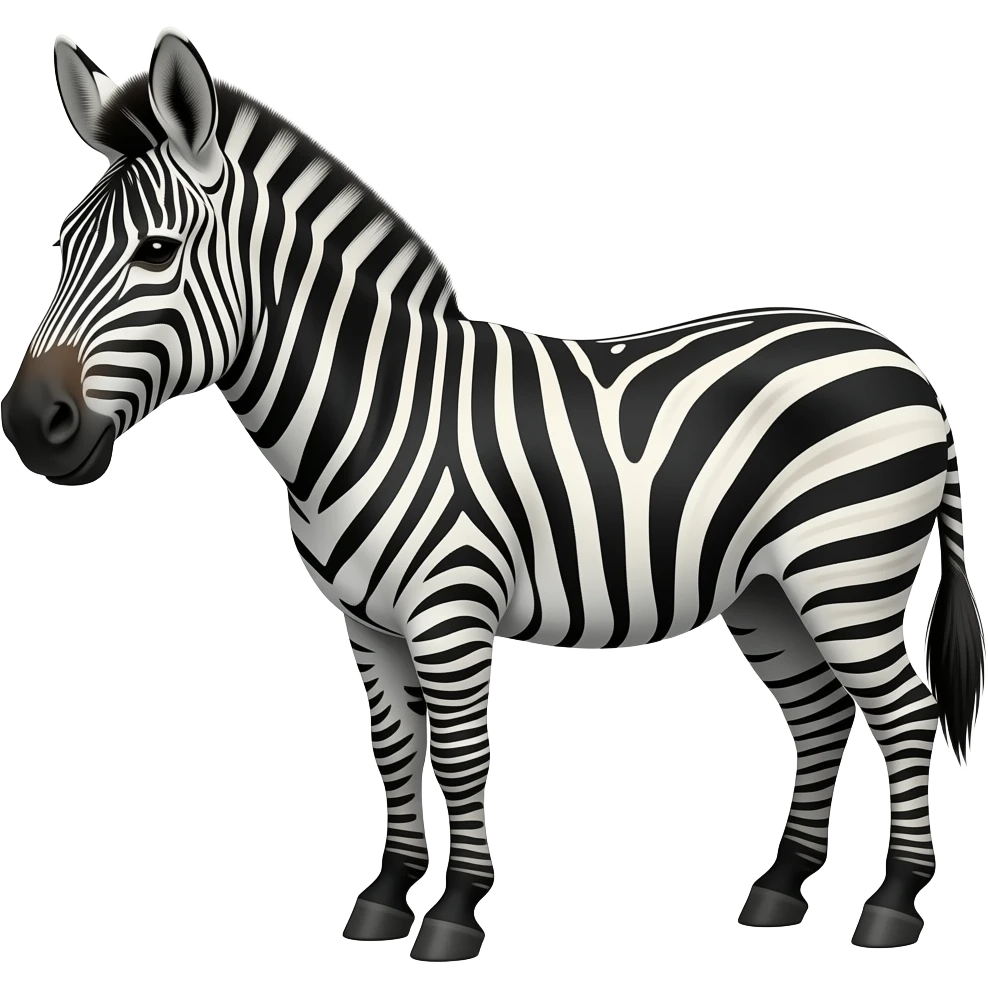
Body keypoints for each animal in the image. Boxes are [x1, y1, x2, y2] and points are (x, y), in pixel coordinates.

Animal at [2, 29, 984, 960]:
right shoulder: (367, 624)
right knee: (821, 715)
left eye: (156, 252)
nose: (29, 425)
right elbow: (396, 751)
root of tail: (907, 363)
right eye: (61, 247)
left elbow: (464, 753)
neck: (369, 409)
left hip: (847, 571)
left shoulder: (452, 609)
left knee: (906, 715)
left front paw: (454, 914)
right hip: (767, 590)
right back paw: (779, 889)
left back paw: (893, 906)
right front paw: (385, 898)